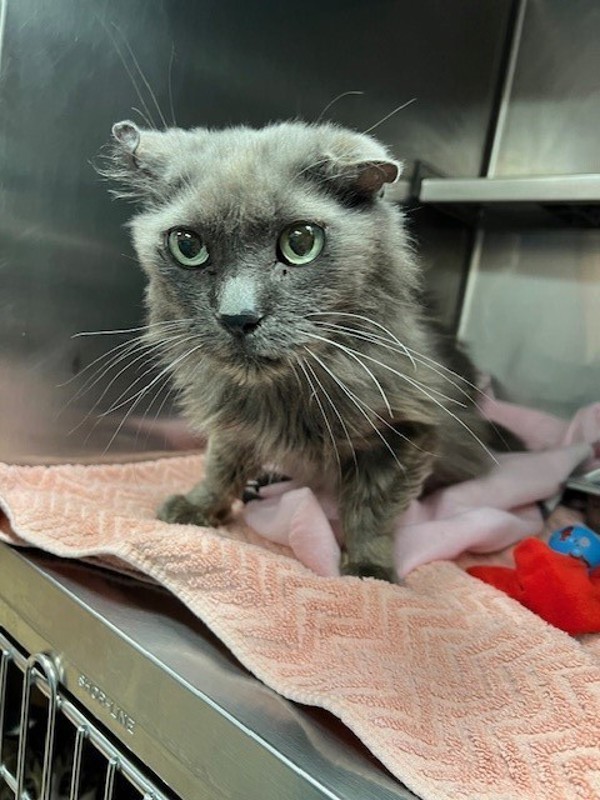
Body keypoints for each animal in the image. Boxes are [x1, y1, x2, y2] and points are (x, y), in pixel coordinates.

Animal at [105, 119, 504, 580]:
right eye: (187, 246)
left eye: (301, 242)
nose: (238, 317)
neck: (283, 395)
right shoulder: (234, 424)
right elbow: (221, 464)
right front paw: (200, 506)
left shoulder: (405, 430)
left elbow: (372, 508)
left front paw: (368, 569)